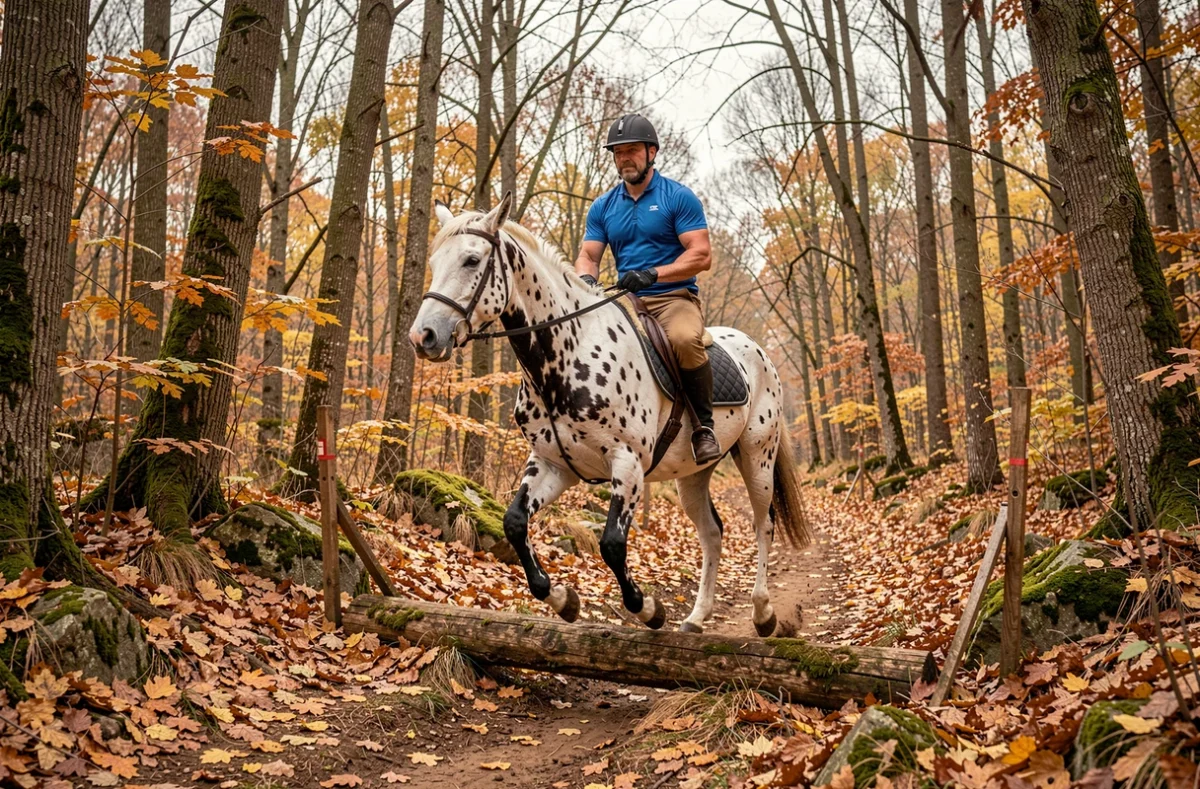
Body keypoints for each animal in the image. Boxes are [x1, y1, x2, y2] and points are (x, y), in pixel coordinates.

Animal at [408, 192, 810, 636]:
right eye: (434, 263)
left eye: (472, 260)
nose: (423, 336)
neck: (565, 356)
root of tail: (756, 350)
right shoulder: (553, 464)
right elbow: (514, 523)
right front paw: (563, 599)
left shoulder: (627, 463)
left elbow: (612, 545)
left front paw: (649, 609)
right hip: (693, 474)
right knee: (712, 533)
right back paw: (696, 617)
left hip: (758, 455)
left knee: (763, 524)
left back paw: (763, 613)